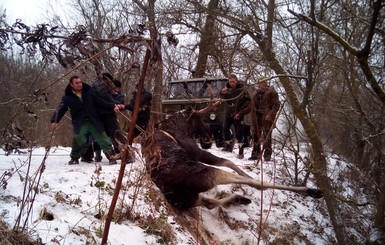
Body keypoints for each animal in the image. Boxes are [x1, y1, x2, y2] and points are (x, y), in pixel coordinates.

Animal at [140, 108, 320, 210]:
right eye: (199, 118)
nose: (210, 134)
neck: (178, 127)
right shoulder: (197, 152)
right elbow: (228, 161)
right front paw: (247, 174)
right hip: (207, 175)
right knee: (250, 182)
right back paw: (310, 190)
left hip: (187, 200)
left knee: (210, 203)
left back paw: (240, 199)